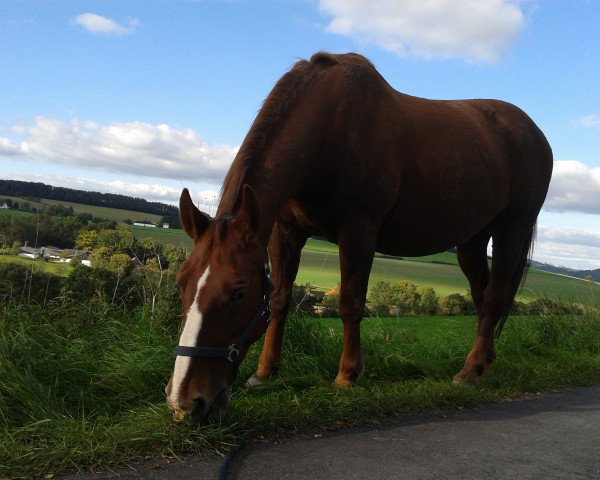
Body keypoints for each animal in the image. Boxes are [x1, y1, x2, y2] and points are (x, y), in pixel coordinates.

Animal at [165, 50, 552, 422]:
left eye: (238, 293)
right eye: (182, 282)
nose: (185, 401)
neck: (328, 131)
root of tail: (534, 134)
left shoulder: (359, 232)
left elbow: (350, 303)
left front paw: (347, 375)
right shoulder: (285, 232)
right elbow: (279, 299)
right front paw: (264, 373)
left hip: (511, 230)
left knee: (495, 297)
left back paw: (469, 371)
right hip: (471, 241)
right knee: (483, 296)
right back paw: (485, 360)